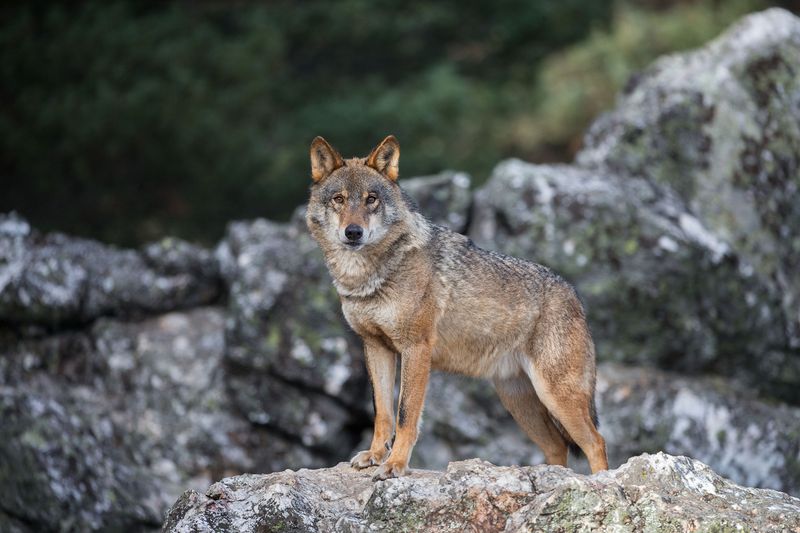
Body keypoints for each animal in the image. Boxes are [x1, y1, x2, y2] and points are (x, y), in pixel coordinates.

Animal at [304, 136, 608, 478]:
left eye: (371, 200)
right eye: (339, 199)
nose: (353, 232)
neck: (368, 278)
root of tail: (574, 294)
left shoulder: (416, 349)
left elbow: (406, 415)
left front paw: (395, 464)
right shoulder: (375, 347)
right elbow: (382, 412)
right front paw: (374, 456)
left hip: (555, 395)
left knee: (596, 442)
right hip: (520, 403)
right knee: (558, 447)